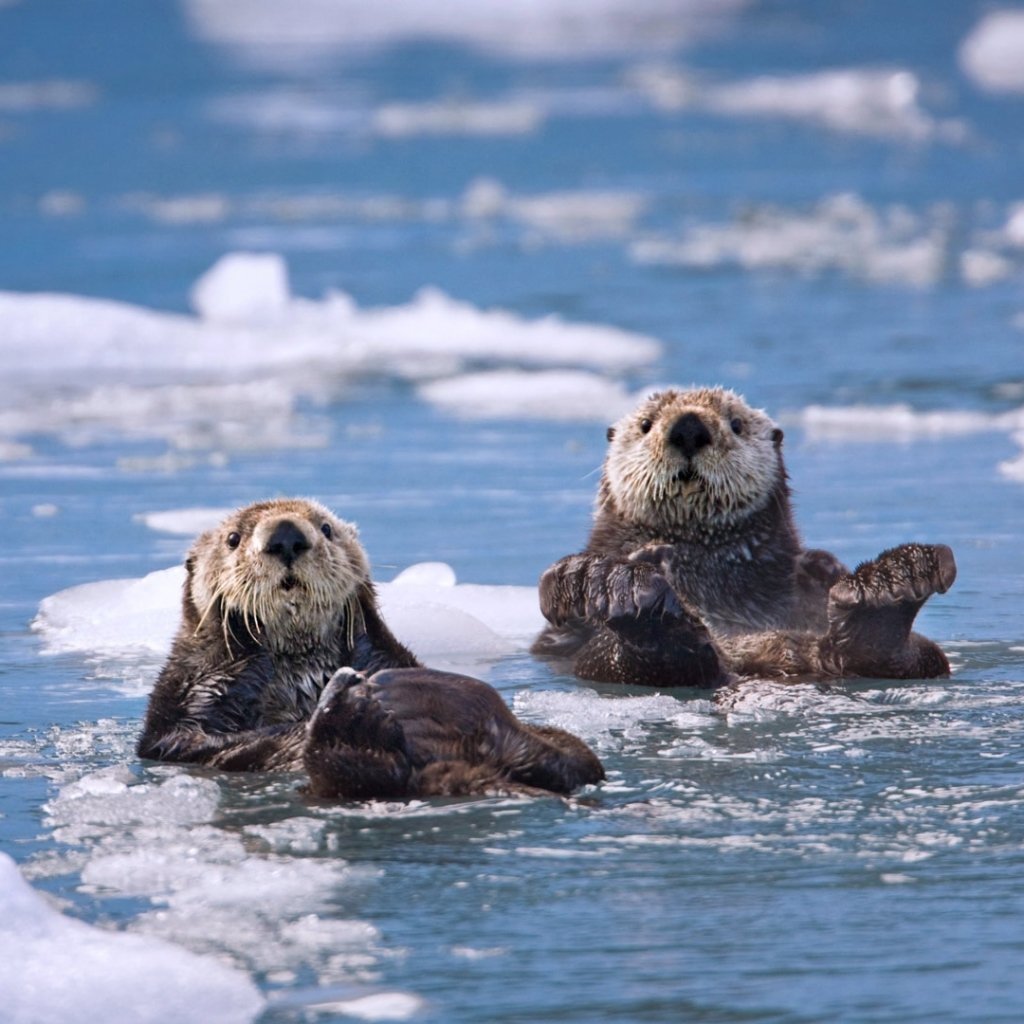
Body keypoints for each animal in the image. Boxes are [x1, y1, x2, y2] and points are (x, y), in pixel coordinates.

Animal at [138, 499, 603, 798]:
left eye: (325, 528)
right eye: (233, 538)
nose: (286, 535)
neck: (300, 671)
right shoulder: (187, 702)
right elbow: (203, 739)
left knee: (573, 758)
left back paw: (422, 695)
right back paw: (355, 714)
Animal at [533, 387, 956, 687]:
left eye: (735, 424)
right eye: (646, 424)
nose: (689, 428)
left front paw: (823, 564)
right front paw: (583, 574)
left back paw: (892, 584)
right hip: (605, 661)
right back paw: (618, 588)